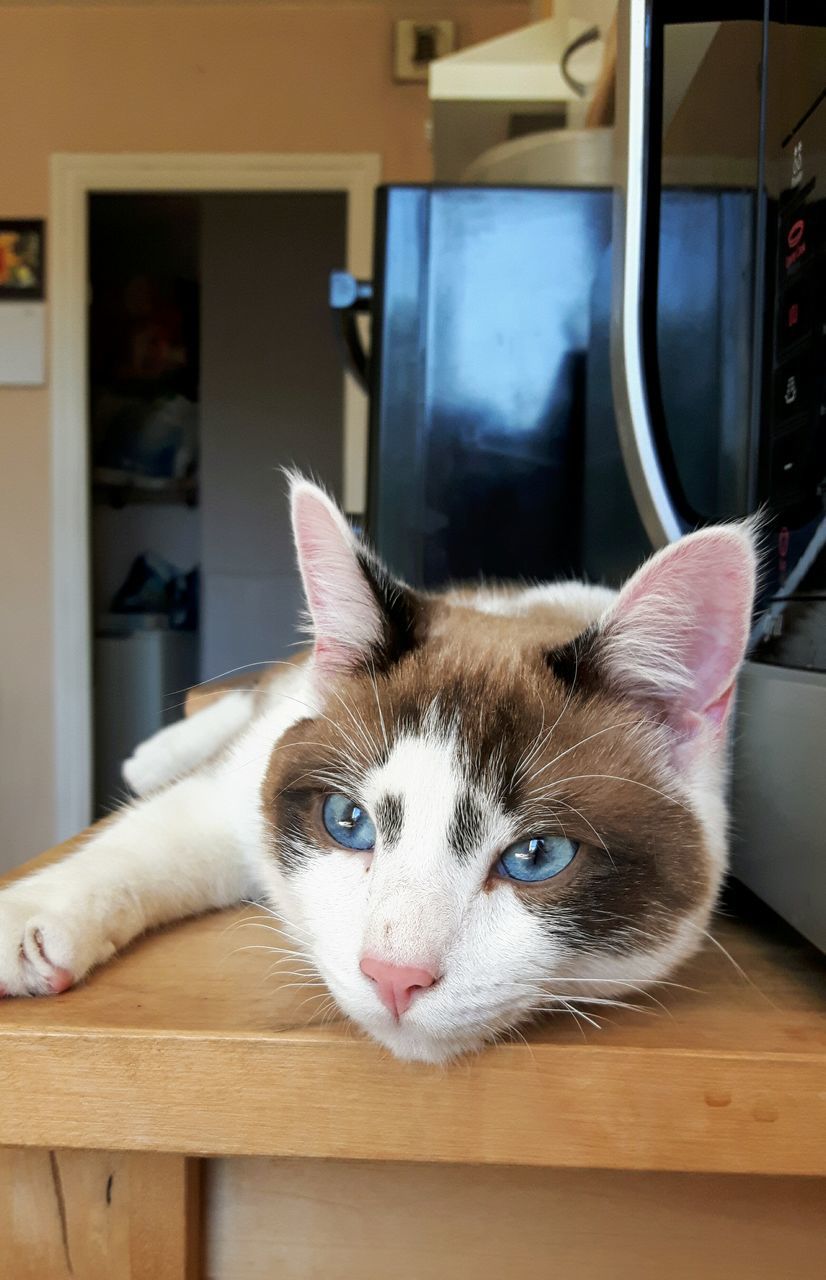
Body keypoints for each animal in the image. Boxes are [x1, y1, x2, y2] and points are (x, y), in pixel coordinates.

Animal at [0, 476, 753, 1064]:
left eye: (538, 856)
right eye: (348, 821)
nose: (394, 976)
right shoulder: (251, 774)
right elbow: (156, 836)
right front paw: (30, 920)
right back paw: (157, 752)